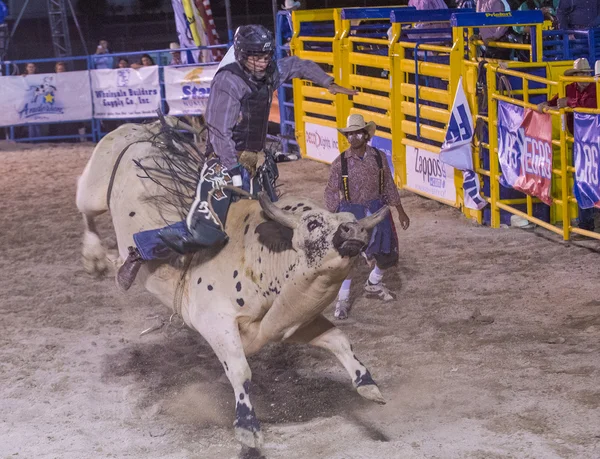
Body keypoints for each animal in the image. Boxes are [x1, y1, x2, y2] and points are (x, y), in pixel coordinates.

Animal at [75, 117, 390, 450]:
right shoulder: (215, 320)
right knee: (86, 210)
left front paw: (368, 385)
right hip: (94, 189)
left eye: (349, 217)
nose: (354, 229)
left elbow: (339, 339)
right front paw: (247, 426)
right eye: (314, 223)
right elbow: (240, 370)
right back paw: (96, 258)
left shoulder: (289, 322)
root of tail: (141, 128)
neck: (262, 256)